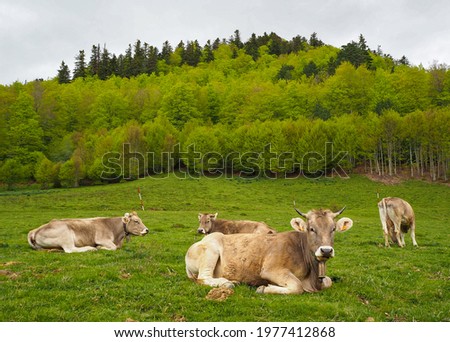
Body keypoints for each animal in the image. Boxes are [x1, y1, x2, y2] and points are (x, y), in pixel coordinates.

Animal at [185, 207, 354, 296]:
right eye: (311, 229)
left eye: (333, 229)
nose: (326, 250)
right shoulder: (270, 270)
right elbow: (297, 286)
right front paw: (263, 288)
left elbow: (329, 281)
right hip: (210, 250)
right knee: (203, 278)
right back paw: (227, 283)